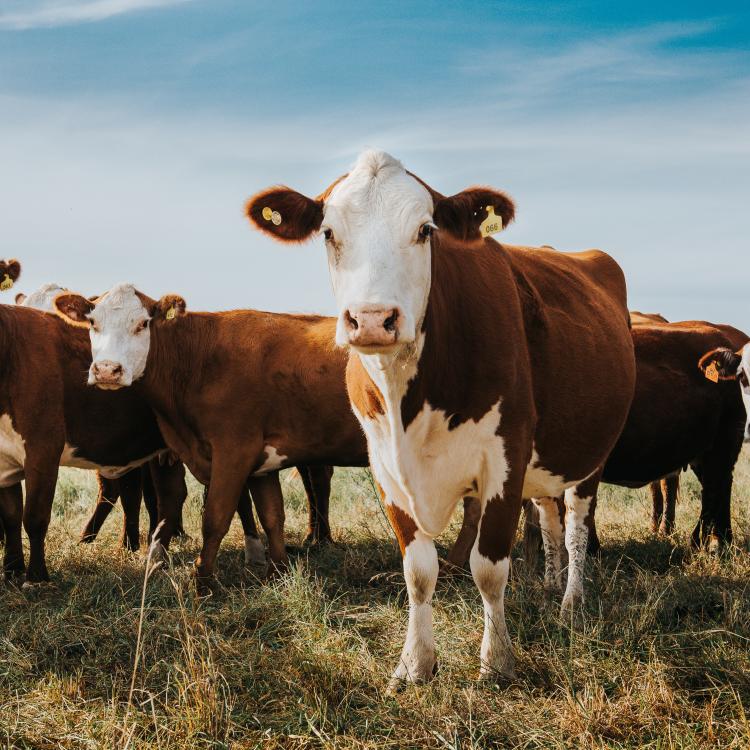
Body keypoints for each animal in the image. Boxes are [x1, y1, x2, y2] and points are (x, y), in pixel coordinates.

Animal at [245, 151, 636, 688]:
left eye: (425, 230)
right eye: (327, 232)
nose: (372, 319)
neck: (409, 399)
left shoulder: (506, 457)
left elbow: (489, 567)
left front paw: (497, 661)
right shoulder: (385, 467)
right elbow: (418, 571)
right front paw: (415, 663)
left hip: (589, 454)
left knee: (576, 525)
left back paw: (571, 602)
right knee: (551, 519)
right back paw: (548, 586)